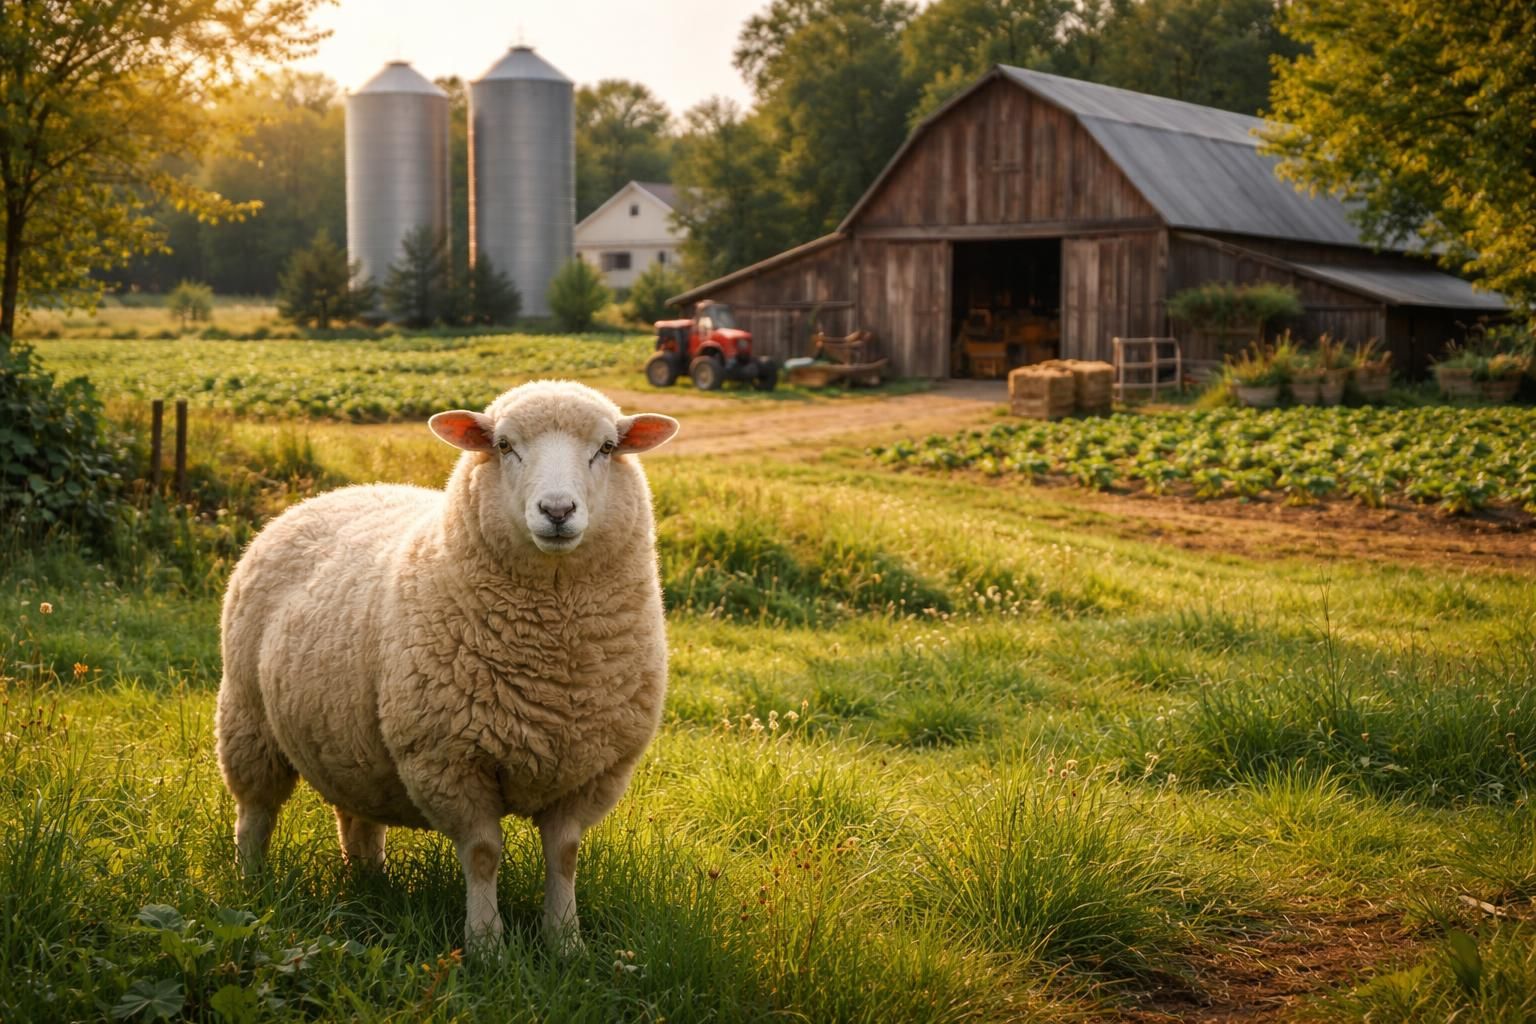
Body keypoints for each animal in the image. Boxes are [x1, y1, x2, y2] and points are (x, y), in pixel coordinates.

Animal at [215, 380, 679, 955]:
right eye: (504, 445)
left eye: (607, 448)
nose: (556, 510)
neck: (554, 653)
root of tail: (332, 494)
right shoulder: (448, 758)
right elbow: (482, 855)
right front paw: (485, 946)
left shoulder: (592, 769)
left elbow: (565, 856)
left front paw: (565, 942)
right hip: (248, 718)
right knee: (254, 815)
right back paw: (251, 886)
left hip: (346, 740)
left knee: (356, 816)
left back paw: (369, 886)